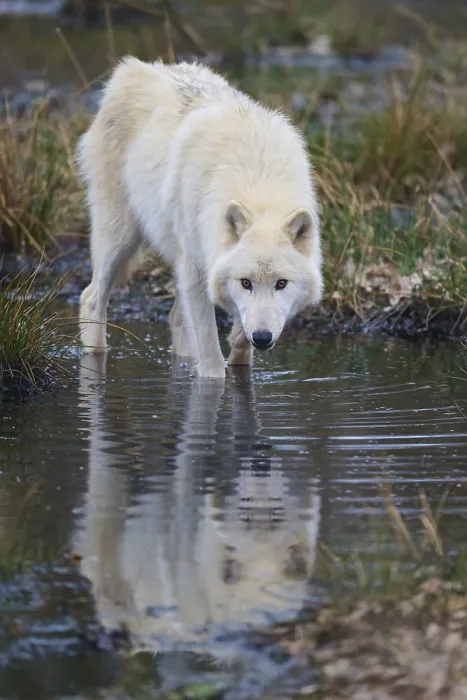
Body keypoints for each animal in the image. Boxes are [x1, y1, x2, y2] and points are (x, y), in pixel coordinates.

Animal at [78, 58, 323, 378]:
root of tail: (135, 68)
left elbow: (239, 340)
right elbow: (211, 360)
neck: (259, 183)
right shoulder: (195, 270)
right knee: (92, 298)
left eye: (281, 284)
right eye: (246, 283)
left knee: (176, 319)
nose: (263, 338)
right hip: (119, 239)